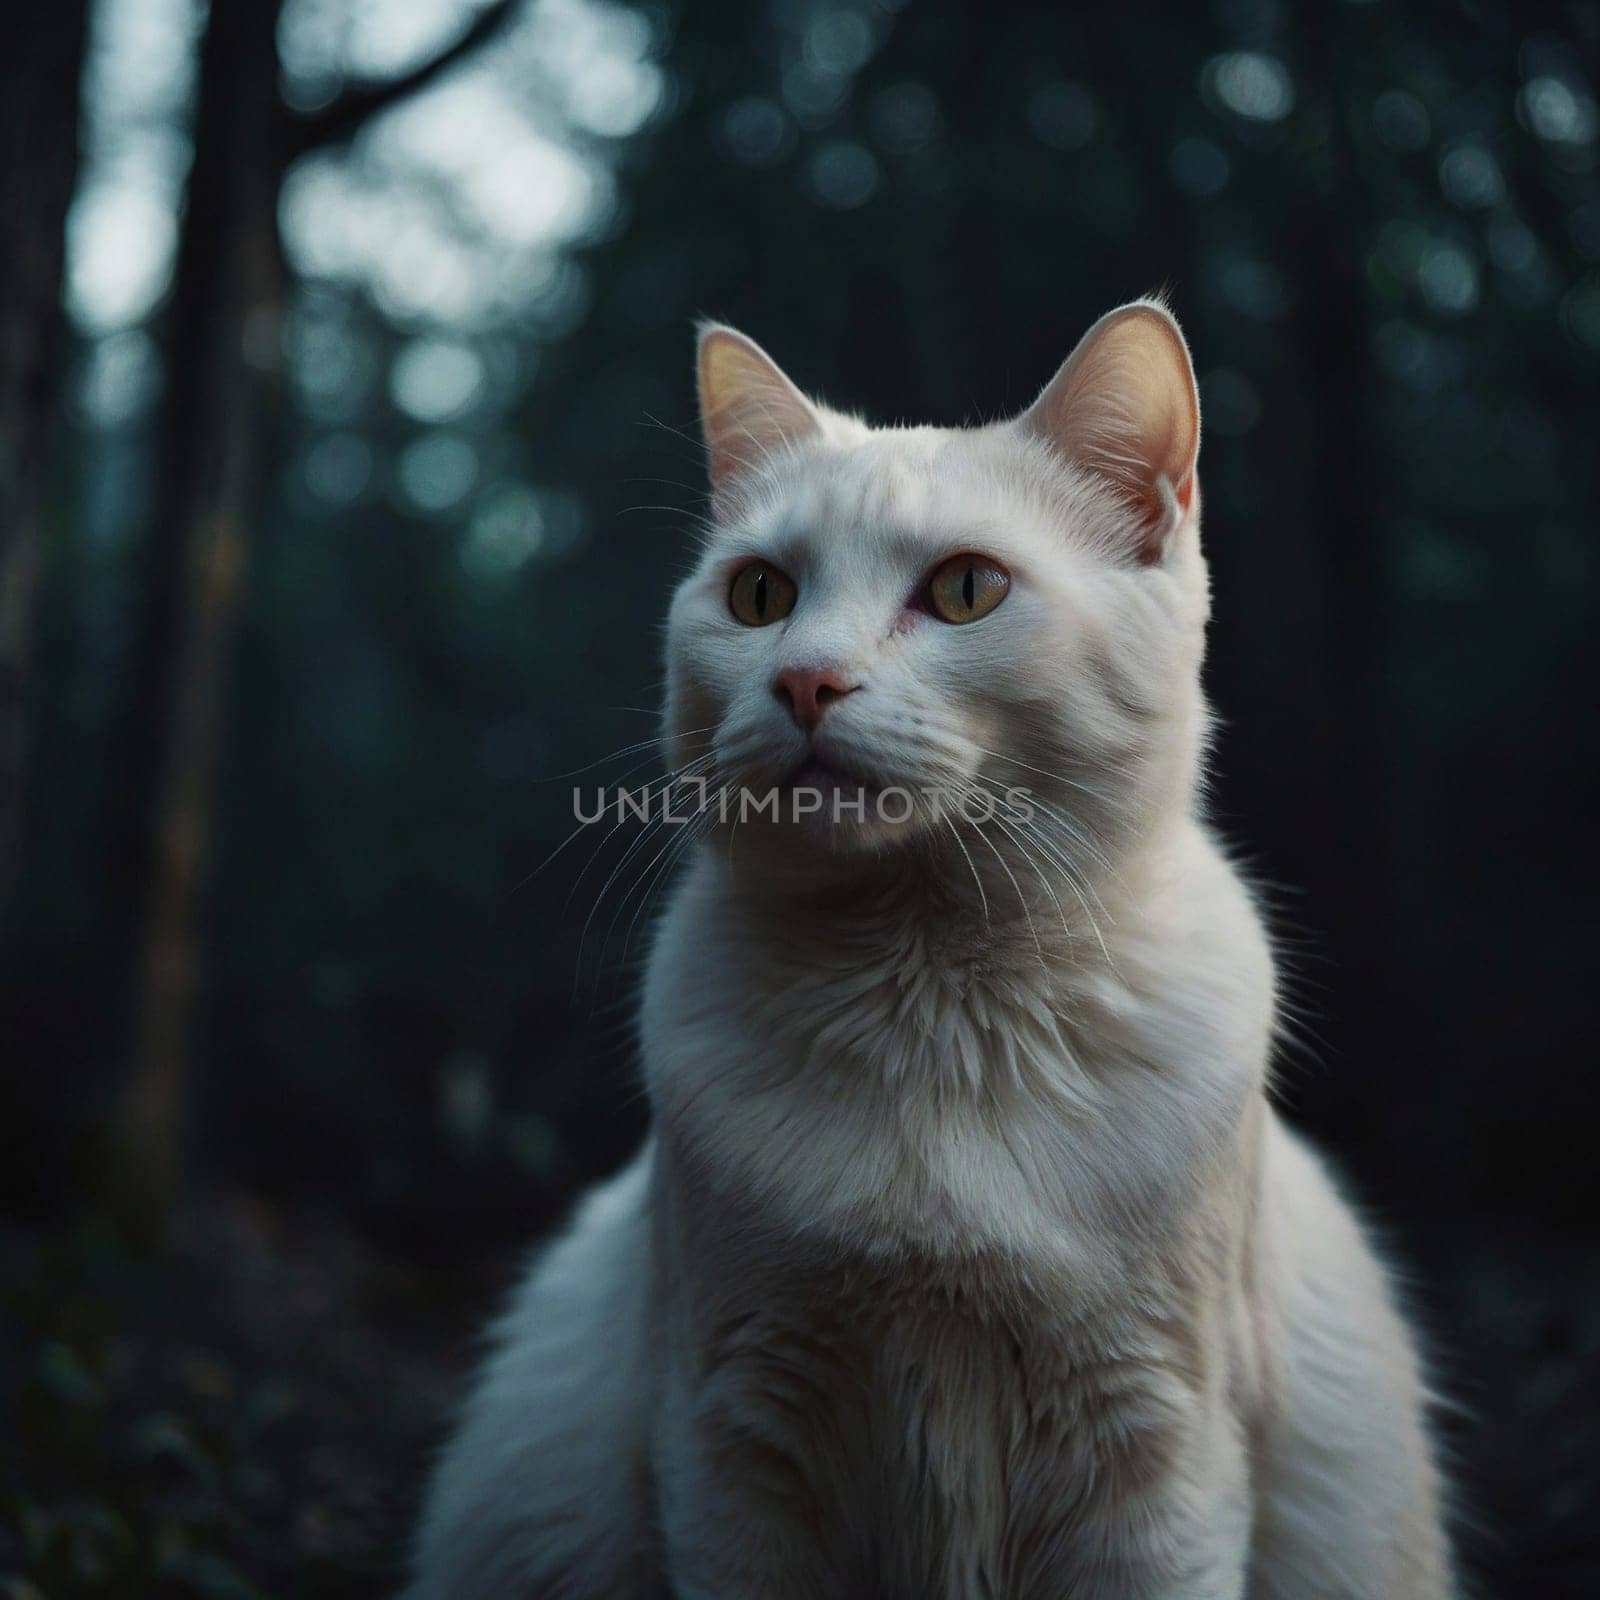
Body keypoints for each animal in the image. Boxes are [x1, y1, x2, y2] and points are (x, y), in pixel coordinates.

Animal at [406, 302, 1459, 1600]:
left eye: (965, 589)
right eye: (758, 594)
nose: (805, 679)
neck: (931, 996)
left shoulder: (1155, 1448)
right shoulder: (733, 1436)